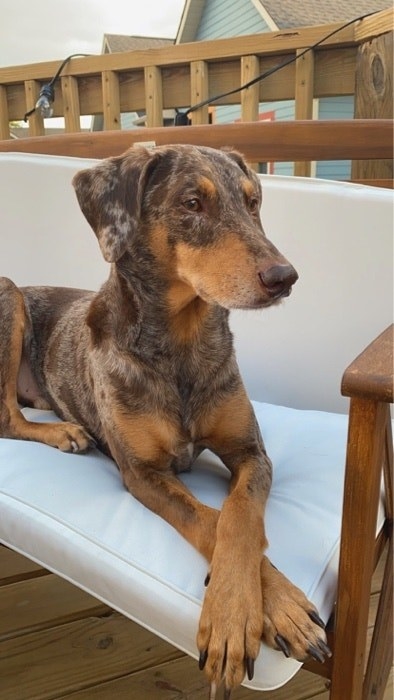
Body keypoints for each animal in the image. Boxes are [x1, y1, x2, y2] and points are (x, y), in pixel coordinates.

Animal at [0, 145, 330, 696]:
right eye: (192, 202)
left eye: (253, 202)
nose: (285, 277)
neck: (181, 340)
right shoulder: (142, 472)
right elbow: (207, 518)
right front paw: (246, 614)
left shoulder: (252, 452)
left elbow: (239, 516)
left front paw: (259, 606)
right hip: (9, 295)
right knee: (7, 416)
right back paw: (63, 431)